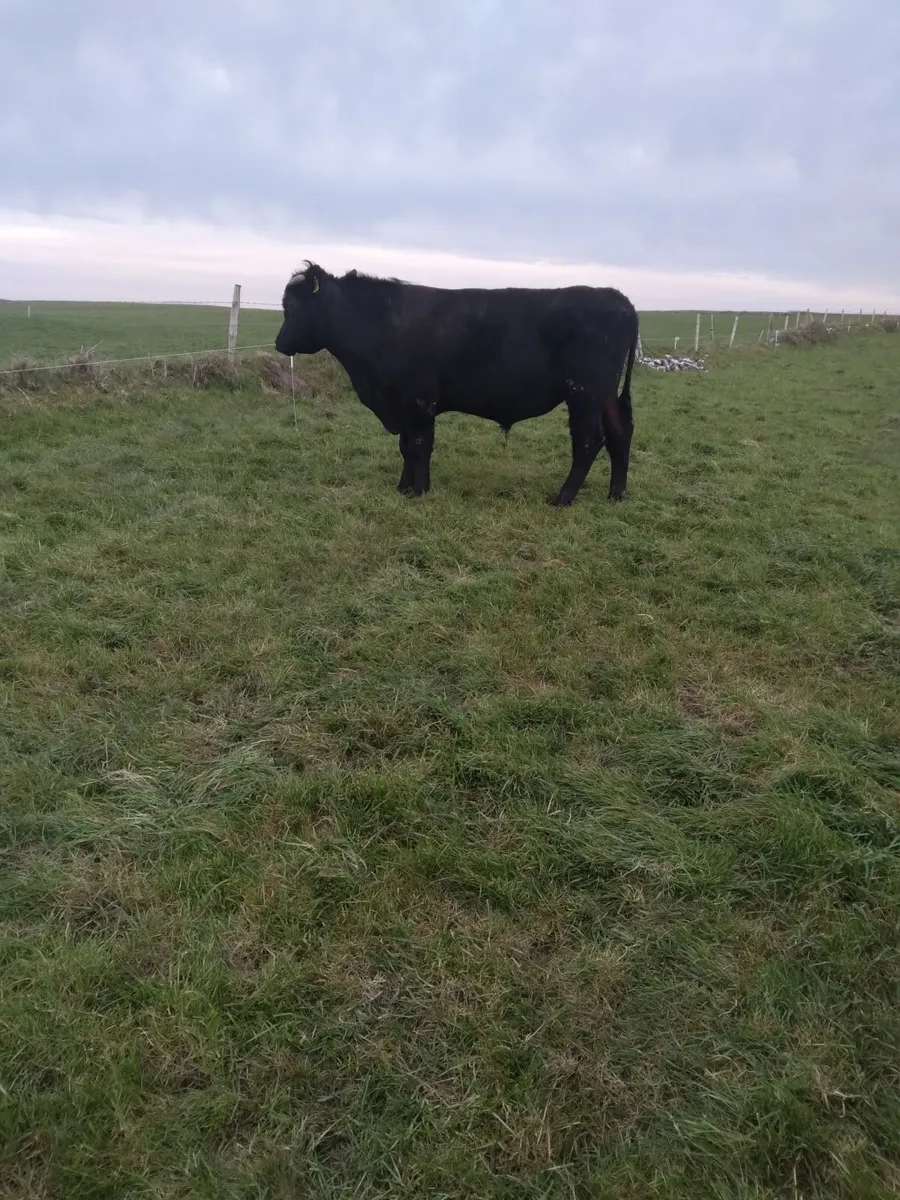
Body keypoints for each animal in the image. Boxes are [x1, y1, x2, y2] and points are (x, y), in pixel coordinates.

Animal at [274, 262, 638, 506]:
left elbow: (419, 445)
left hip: (585, 394)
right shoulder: (403, 405)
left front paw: (418, 491)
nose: (279, 343)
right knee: (620, 433)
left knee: (589, 441)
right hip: (603, 395)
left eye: (294, 307)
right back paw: (616, 493)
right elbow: (405, 446)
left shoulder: (418, 401)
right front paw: (403, 488)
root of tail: (618, 297)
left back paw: (563, 497)